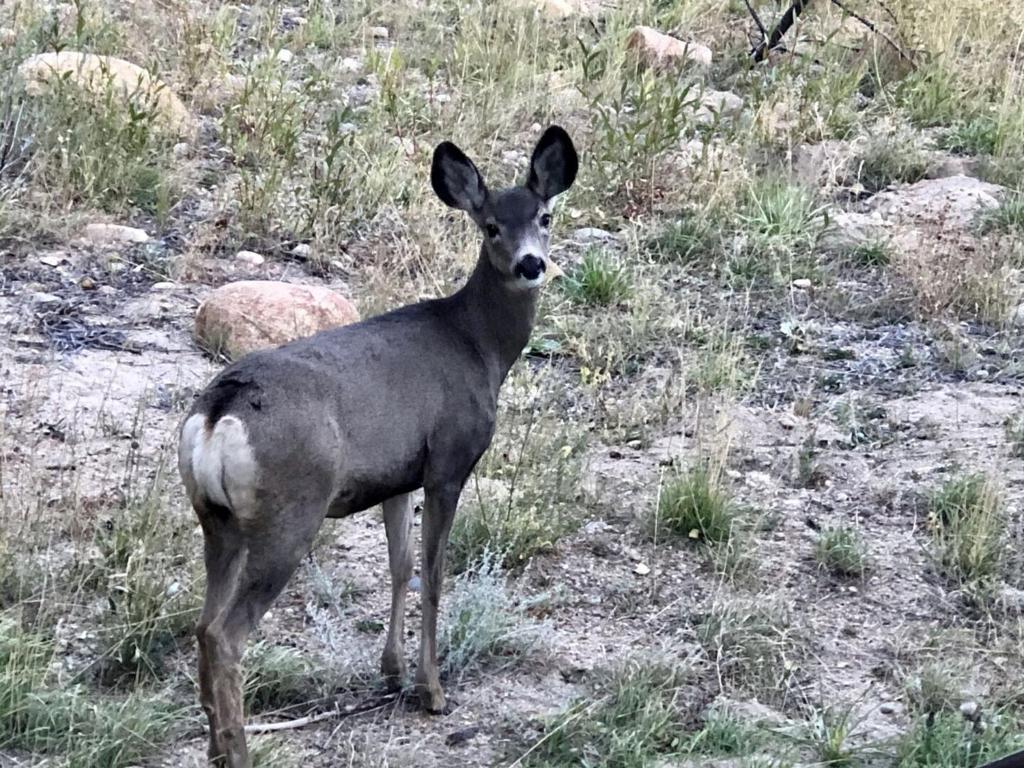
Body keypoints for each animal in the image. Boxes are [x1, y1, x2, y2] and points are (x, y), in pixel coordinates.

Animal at [176, 128, 577, 768]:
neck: (480, 346)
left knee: (202, 624)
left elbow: (400, 565)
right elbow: (434, 574)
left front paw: (391, 672)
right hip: (290, 513)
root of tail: (219, 410)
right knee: (224, 634)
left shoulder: (398, 477)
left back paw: (217, 747)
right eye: (490, 226)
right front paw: (431, 690)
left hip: (215, 519)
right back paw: (238, 752)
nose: (531, 263)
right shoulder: (448, 461)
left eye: (545, 216)